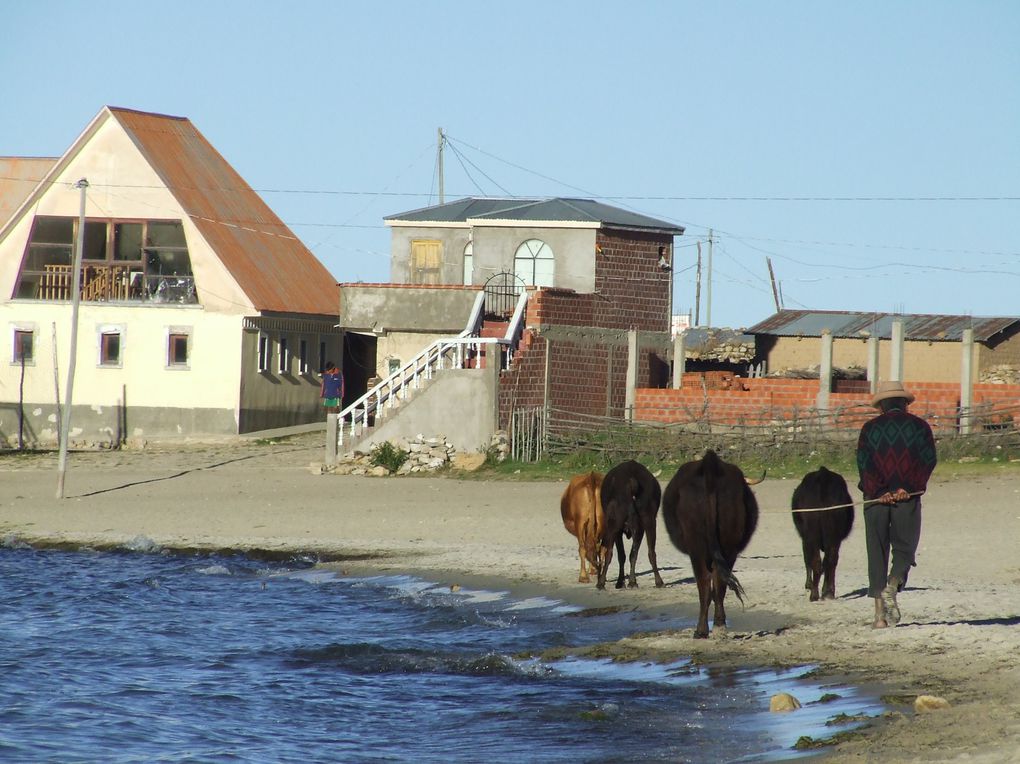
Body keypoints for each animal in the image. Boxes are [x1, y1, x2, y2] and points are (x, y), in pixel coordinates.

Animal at [595, 459, 665, 591]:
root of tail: (631, 481)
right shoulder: (638, 529)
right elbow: (631, 554)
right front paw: (628, 581)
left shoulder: (618, 531)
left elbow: (620, 555)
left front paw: (620, 582)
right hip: (649, 521)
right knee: (650, 552)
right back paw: (656, 582)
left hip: (614, 524)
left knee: (609, 553)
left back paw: (601, 583)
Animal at [660, 446, 758, 636]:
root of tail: (710, 467)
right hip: (728, 546)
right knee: (720, 581)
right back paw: (719, 624)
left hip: (696, 547)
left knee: (704, 582)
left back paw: (701, 630)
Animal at [791, 465, 856, 603]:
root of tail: (823, 475)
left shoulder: (805, 538)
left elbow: (807, 558)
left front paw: (808, 584)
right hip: (834, 534)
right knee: (830, 560)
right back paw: (828, 592)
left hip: (812, 533)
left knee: (816, 561)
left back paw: (814, 595)